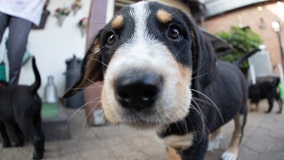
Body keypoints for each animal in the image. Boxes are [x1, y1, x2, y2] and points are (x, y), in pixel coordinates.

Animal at [63, 0, 247, 159]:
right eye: (110, 38)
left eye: (174, 32)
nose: (135, 89)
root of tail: (234, 65)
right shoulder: (171, 145)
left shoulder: (197, 144)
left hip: (242, 108)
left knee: (239, 131)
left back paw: (231, 152)